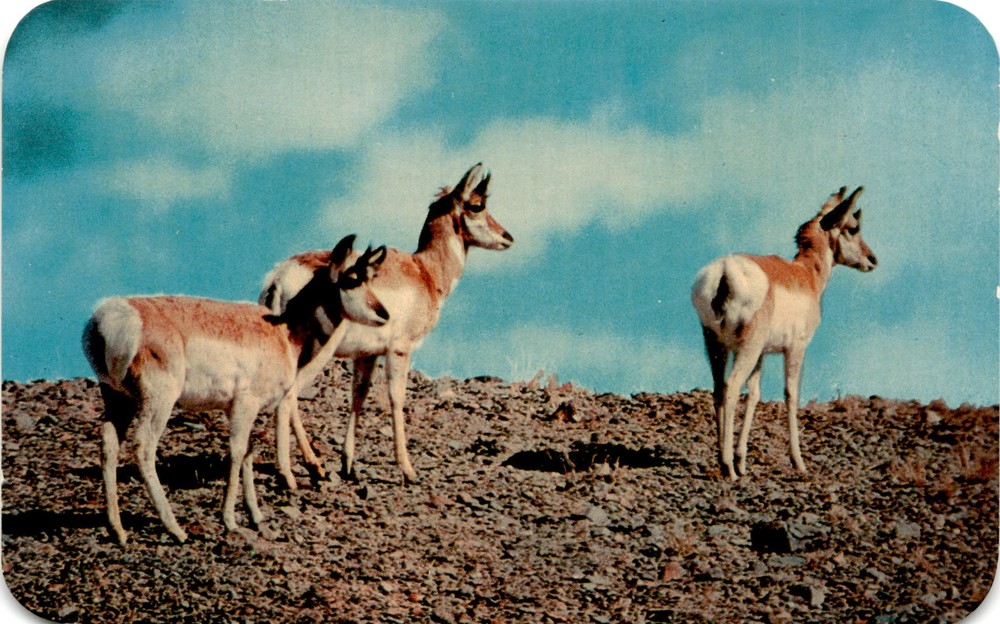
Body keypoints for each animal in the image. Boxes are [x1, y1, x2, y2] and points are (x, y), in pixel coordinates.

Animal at [82, 235, 388, 545]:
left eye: (371, 276)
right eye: (352, 278)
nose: (384, 314)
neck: (284, 331)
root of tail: (112, 317)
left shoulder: (243, 410)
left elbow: (249, 453)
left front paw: (255, 516)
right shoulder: (245, 404)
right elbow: (238, 451)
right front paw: (229, 519)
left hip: (118, 399)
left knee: (109, 444)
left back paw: (117, 529)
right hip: (157, 401)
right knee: (144, 447)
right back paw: (175, 529)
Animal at [259, 163, 513, 484]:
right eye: (477, 205)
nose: (507, 237)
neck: (425, 271)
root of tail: (280, 276)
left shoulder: (366, 356)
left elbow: (359, 395)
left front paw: (349, 464)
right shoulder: (400, 350)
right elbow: (396, 398)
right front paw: (408, 469)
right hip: (318, 351)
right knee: (290, 394)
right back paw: (310, 466)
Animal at [691, 187, 877, 480]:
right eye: (853, 227)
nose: (872, 260)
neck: (804, 274)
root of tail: (726, 269)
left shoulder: (762, 356)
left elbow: (754, 395)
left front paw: (743, 459)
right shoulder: (795, 349)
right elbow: (791, 394)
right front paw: (798, 461)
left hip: (716, 345)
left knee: (719, 389)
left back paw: (726, 462)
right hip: (746, 348)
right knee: (731, 387)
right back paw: (728, 467)